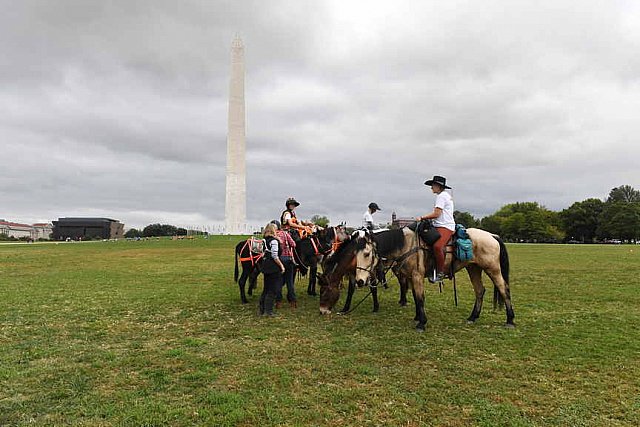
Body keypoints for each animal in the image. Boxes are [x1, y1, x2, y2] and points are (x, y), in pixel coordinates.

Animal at [352, 227, 512, 332]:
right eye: (355, 254)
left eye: (367, 254)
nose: (360, 280)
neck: (407, 245)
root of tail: (492, 235)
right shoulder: (411, 276)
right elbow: (415, 297)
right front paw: (417, 317)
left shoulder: (416, 275)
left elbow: (420, 297)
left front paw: (422, 323)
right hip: (473, 268)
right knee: (479, 290)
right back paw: (473, 317)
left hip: (493, 269)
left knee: (503, 289)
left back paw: (510, 320)